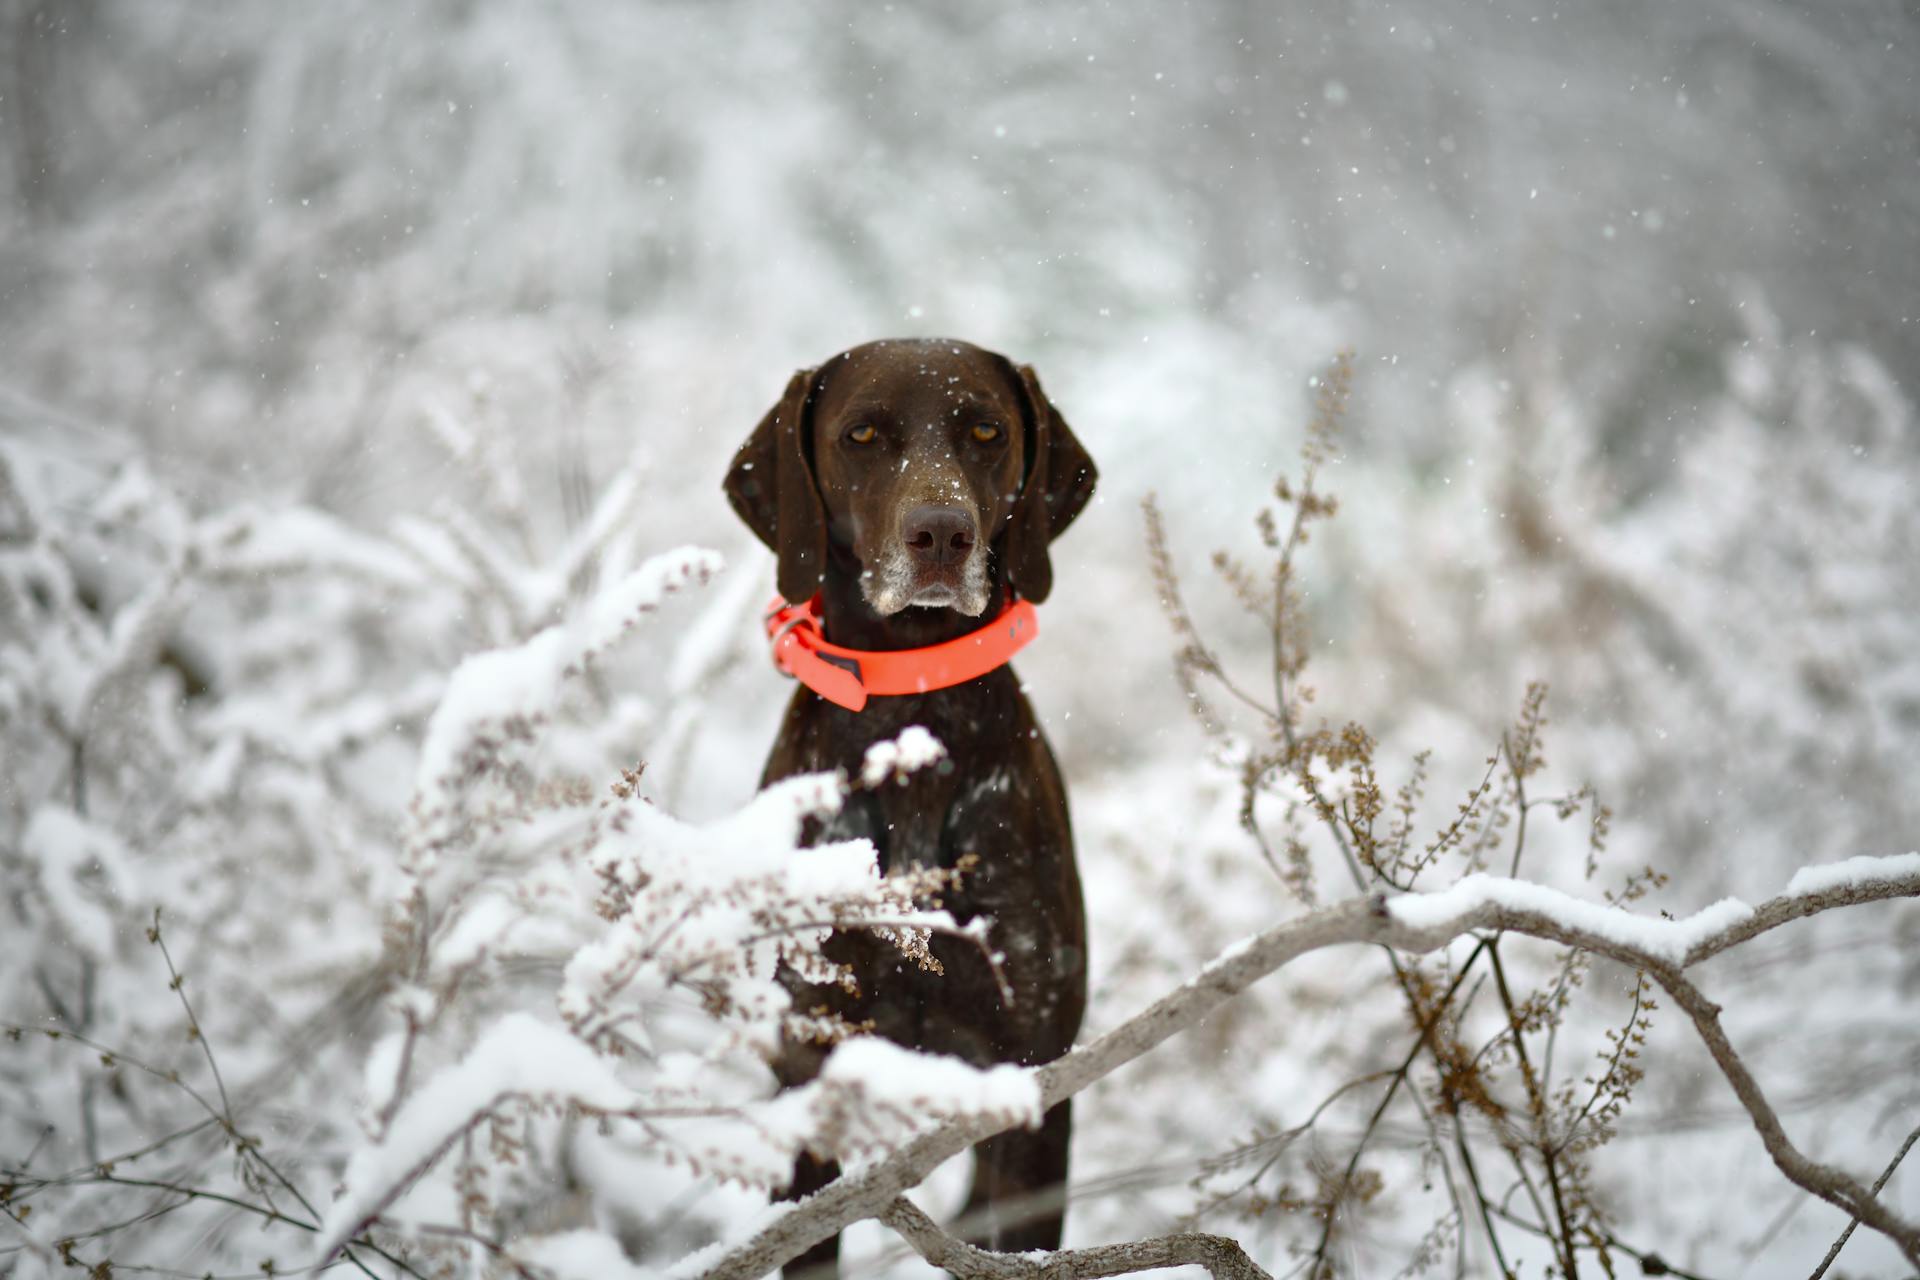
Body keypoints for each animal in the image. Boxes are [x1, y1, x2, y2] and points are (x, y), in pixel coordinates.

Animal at [721, 335, 1098, 1266]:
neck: (914, 711)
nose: (941, 534)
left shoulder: (1035, 1077)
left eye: (986, 431)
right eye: (862, 434)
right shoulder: (810, 1058)